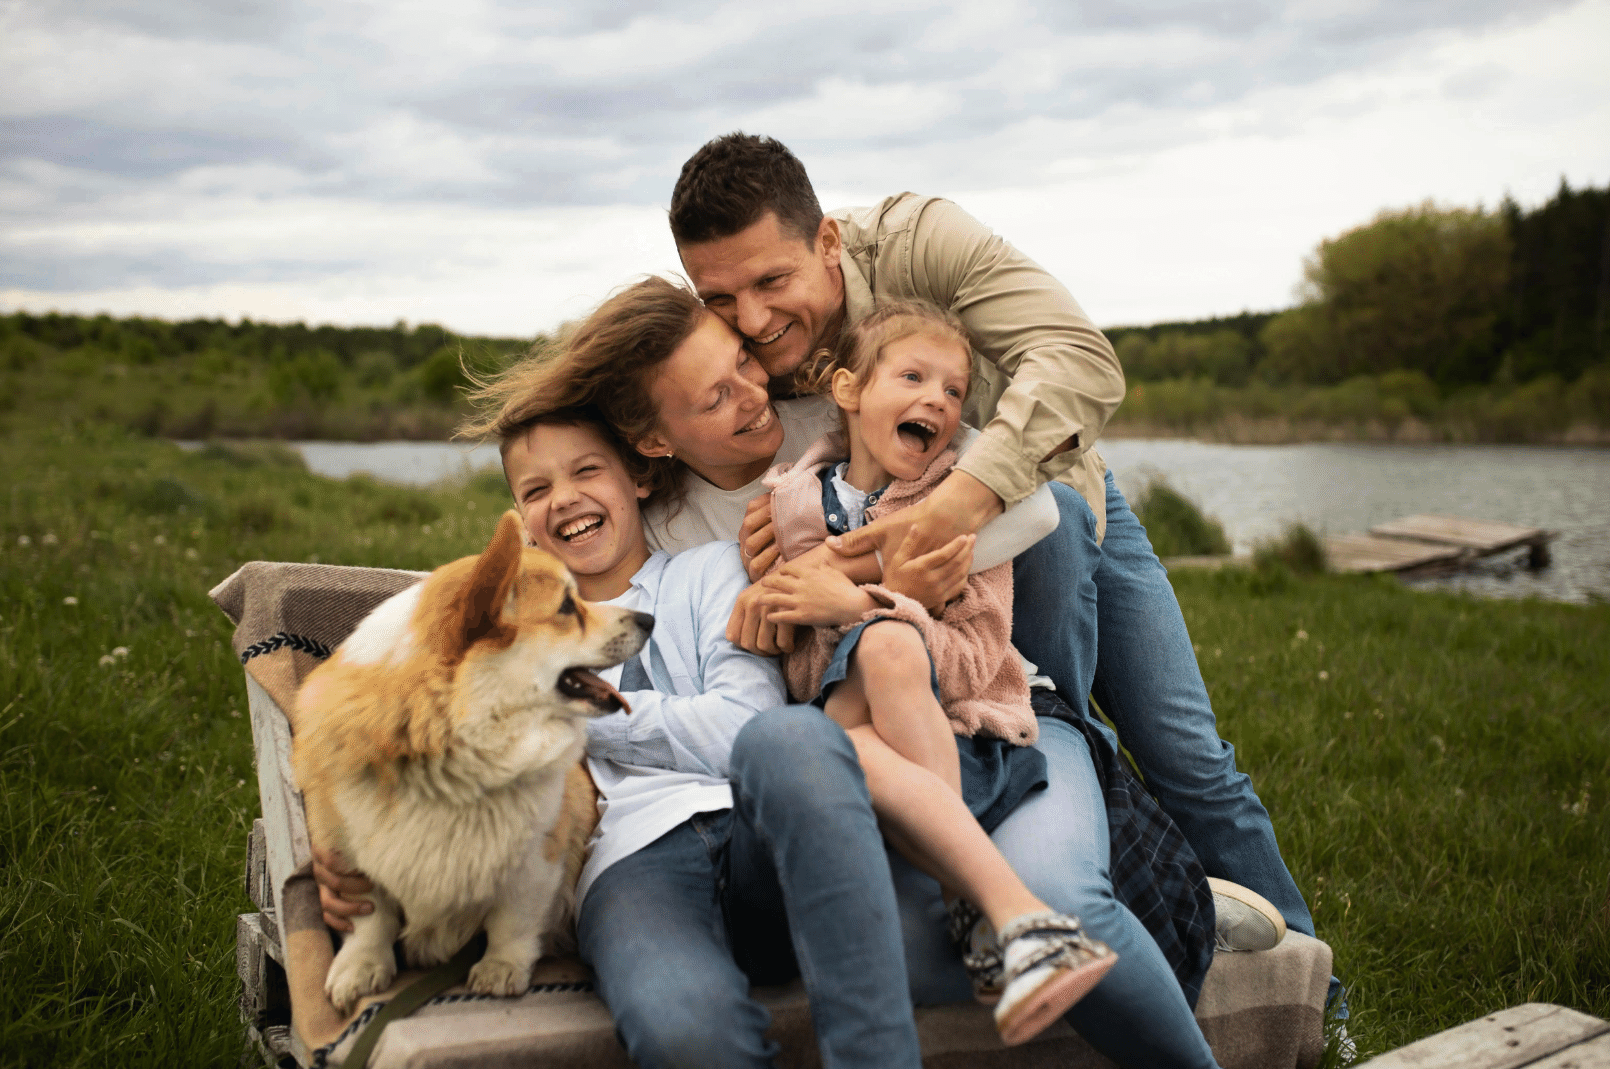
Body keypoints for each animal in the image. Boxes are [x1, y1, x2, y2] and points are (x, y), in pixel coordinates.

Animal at [293, 508, 650, 1011]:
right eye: (567, 607)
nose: (650, 619)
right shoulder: (347, 855)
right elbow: (371, 919)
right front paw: (360, 969)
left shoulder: (538, 857)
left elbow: (513, 920)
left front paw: (501, 968)